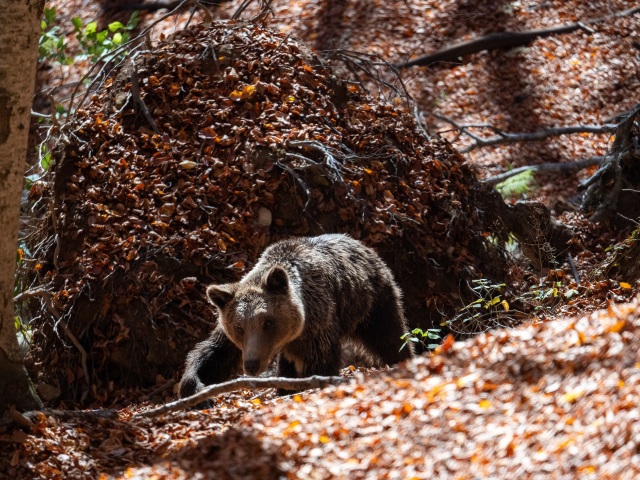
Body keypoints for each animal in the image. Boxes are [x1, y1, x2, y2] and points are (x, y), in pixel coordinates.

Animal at [179, 233, 414, 399]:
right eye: (239, 327)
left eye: (268, 322)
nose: (252, 364)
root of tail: (363, 246)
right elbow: (215, 352)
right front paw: (196, 388)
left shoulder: (318, 323)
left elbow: (320, 362)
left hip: (372, 302)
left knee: (390, 336)